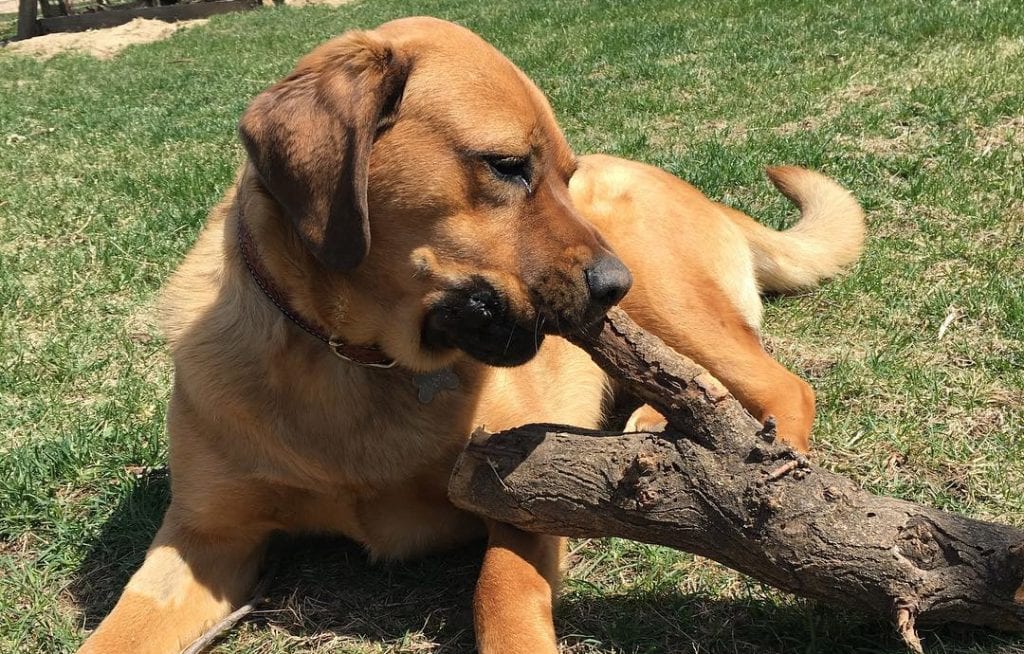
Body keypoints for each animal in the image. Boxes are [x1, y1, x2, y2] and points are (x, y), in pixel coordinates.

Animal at [77, 15, 864, 654]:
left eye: (564, 175)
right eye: (507, 167)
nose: (615, 284)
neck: (354, 364)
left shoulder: (524, 492)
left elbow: (499, 590)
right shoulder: (205, 539)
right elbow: (117, 634)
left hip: (670, 302)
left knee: (779, 384)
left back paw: (763, 469)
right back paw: (655, 429)